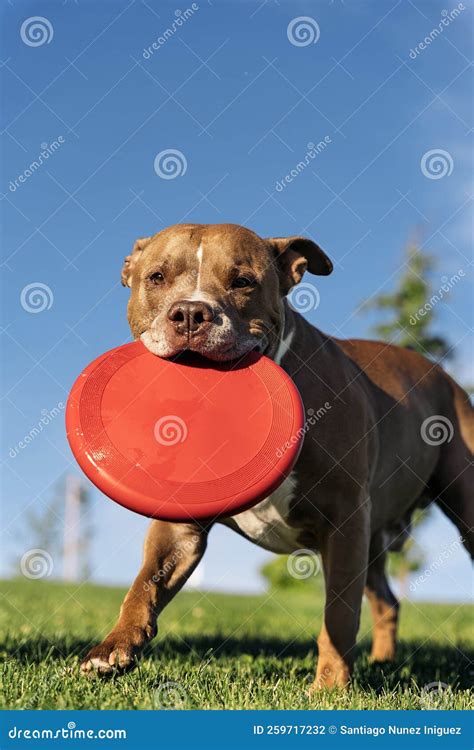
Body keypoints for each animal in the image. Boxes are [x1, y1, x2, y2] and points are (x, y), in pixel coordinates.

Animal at [79, 225, 472, 692]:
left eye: (242, 281)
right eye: (156, 277)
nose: (190, 313)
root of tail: (443, 374)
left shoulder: (345, 522)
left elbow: (339, 614)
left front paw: (330, 686)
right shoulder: (178, 526)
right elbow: (145, 583)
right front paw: (113, 647)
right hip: (374, 540)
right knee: (386, 600)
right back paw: (382, 661)